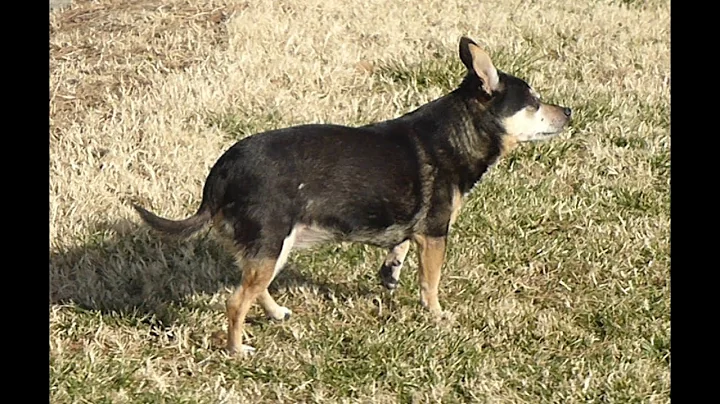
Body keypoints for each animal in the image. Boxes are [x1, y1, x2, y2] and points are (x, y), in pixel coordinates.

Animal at [134, 37, 572, 354]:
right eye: (535, 102)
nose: (568, 110)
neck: (459, 131)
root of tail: (219, 176)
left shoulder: (411, 226)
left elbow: (398, 248)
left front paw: (390, 273)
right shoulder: (435, 233)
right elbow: (430, 283)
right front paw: (437, 316)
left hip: (274, 248)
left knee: (254, 289)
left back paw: (276, 313)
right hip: (271, 244)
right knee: (236, 301)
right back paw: (237, 349)